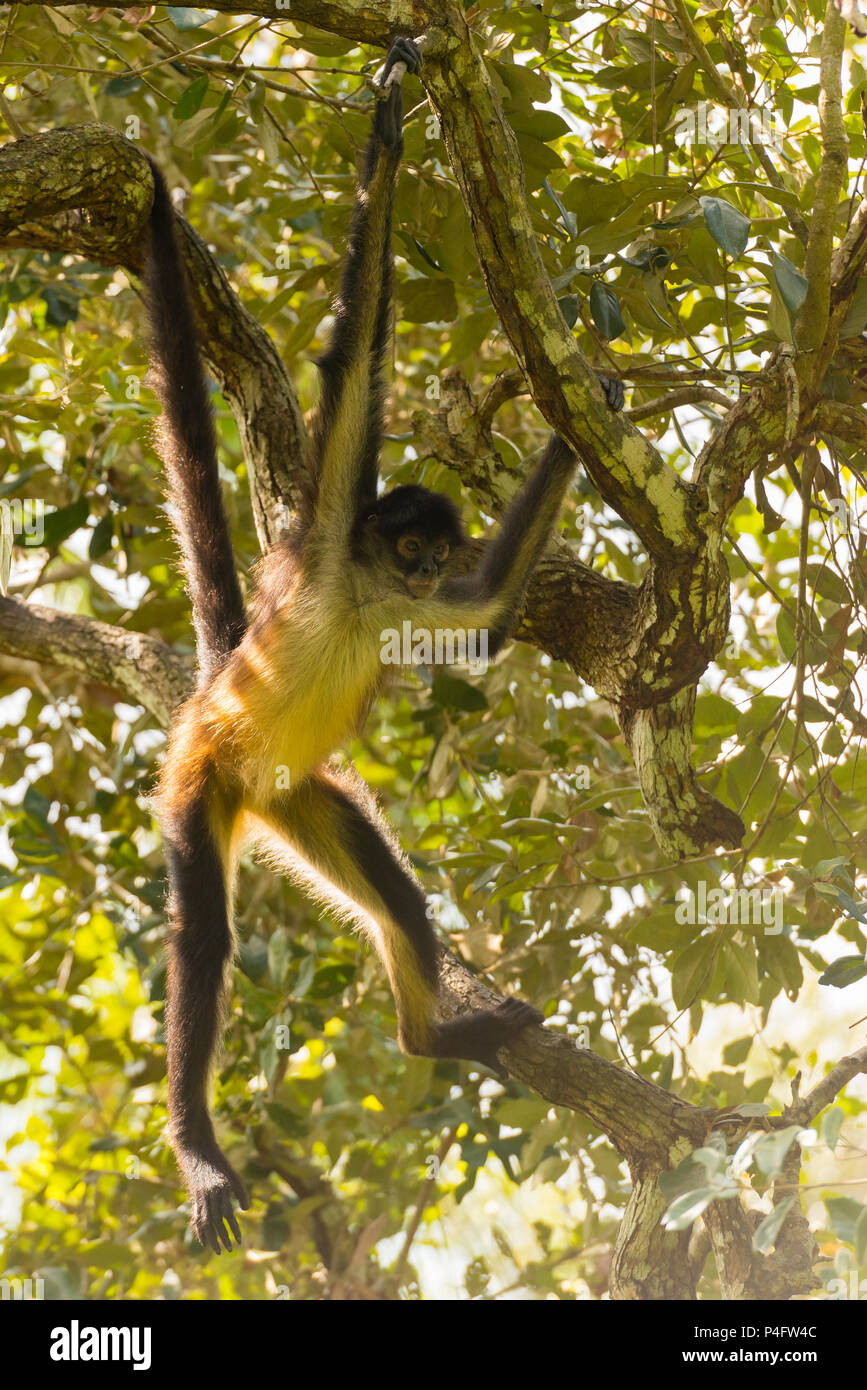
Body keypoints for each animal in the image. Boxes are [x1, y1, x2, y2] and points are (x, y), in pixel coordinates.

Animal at [140, 35, 616, 1251]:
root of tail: (216, 712)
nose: (417, 569)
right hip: (202, 776)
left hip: (299, 797)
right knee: (203, 946)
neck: (358, 593)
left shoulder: (417, 607)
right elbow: (353, 361)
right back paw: (200, 1150)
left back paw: (428, 1037)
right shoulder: (322, 536)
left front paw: (584, 393)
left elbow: (485, 622)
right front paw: (391, 131)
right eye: (404, 541)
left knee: (396, 898)